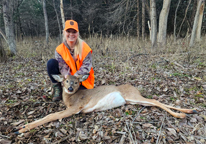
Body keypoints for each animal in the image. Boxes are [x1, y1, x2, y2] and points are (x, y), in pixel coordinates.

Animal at [15, 74, 197, 134]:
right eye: (66, 80)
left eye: (75, 80)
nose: (70, 87)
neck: (70, 100)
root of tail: (133, 87)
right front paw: (19, 127)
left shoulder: (75, 108)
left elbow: (50, 116)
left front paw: (21, 129)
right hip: (133, 100)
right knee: (153, 103)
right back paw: (190, 111)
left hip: (133, 96)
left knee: (154, 100)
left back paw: (182, 114)